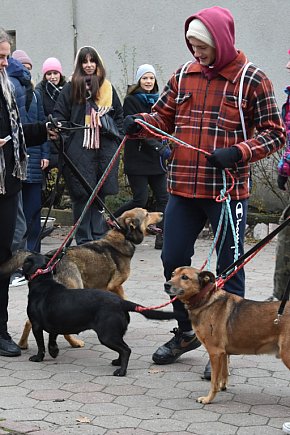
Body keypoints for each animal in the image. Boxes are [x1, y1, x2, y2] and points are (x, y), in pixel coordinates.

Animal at [0, 208, 163, 350]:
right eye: (147, 214)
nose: (162, 213)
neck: (123, 234)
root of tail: (48, 258)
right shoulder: (114, 286)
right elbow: (124, 297)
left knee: (29, 321)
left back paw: (22, 344)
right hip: (73, 288)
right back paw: (74, 342)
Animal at [22, 254, 176, 376]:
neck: (43, 281)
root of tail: (120, 302)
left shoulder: (36, 325)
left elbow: (41, 345)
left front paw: (38, 357)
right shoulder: (55, 323)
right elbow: (52, 339)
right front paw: (54, 351)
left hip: (107, 335)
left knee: (126, 350)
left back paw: (121, 371)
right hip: (114, 333)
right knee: (122, 349)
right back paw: (117, 362)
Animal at [165, 266, 290, 406]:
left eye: (185, 277)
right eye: (173, 274)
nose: (166, 284)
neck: (205, 300)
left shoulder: (215, 352)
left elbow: (213, 381)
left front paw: (208, 399)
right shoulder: (223, 353)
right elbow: (223, 373)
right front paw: (223, 387)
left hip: (286, 354)